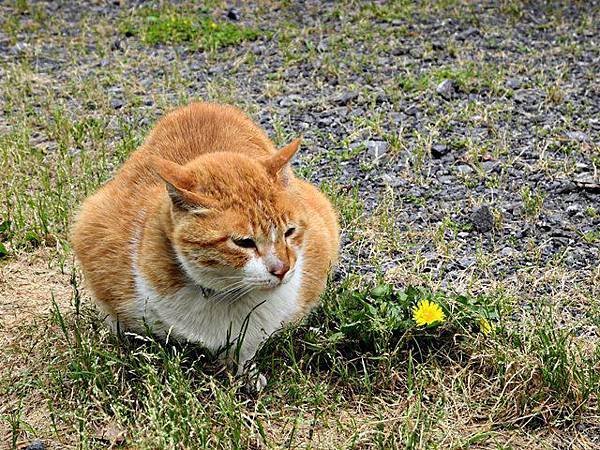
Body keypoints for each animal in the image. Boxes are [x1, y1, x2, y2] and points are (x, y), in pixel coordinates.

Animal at [71, 102, 338, 390]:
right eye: (243, 242)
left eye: (289, 232)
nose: (282, 269)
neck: (230, 298)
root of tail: (203, 105)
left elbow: (246, 351)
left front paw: (247, 374)